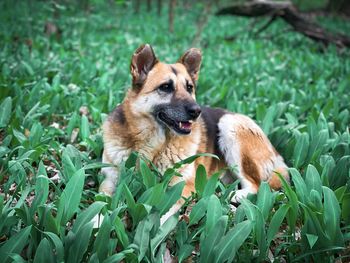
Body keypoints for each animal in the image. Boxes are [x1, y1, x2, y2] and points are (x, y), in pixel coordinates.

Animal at [99, 43, 290, 225]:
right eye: (165, 87)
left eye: (189, 87)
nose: (197, 111)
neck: (153, 144)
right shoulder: (110, 180)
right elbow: (101, 203)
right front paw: (97, 223)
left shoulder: (181, 186)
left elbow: (163, 213)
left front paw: (152, 229)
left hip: (229, 125)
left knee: (257, 185)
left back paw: (232, 197)